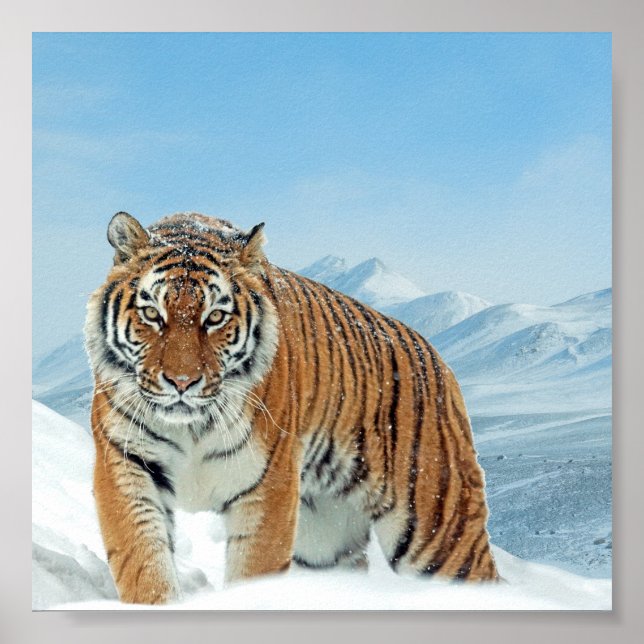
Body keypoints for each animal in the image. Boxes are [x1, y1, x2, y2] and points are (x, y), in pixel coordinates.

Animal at [84, 211, 498, 604]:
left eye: (215, 317)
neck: (192, 427)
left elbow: (253, 571)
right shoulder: (126, 465)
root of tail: (438, 359)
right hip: (325, 540)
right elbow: (143, 562)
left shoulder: (268, 485)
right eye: (152, 314)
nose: (182, 382)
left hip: (438, 529)